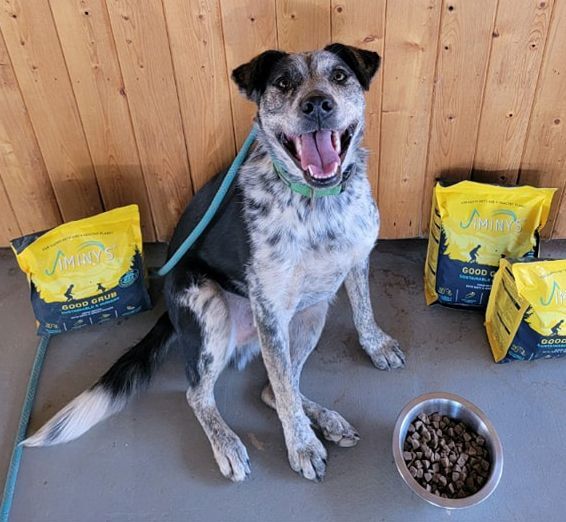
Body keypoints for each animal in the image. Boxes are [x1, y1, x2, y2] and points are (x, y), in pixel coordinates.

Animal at [21, 42, 404, 482]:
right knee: (201, 393)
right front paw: (302, 447)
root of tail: (170, 308)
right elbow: (283, 394)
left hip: (312, 313)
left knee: (272, 387)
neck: (318, 203)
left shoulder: (356, 260)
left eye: (339, 76)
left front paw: (376, 346)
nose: (318, 105)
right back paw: (230, 444)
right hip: (210, 312)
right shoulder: (270, 311)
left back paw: (326, 421)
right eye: (283, 83)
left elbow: (362, 312)